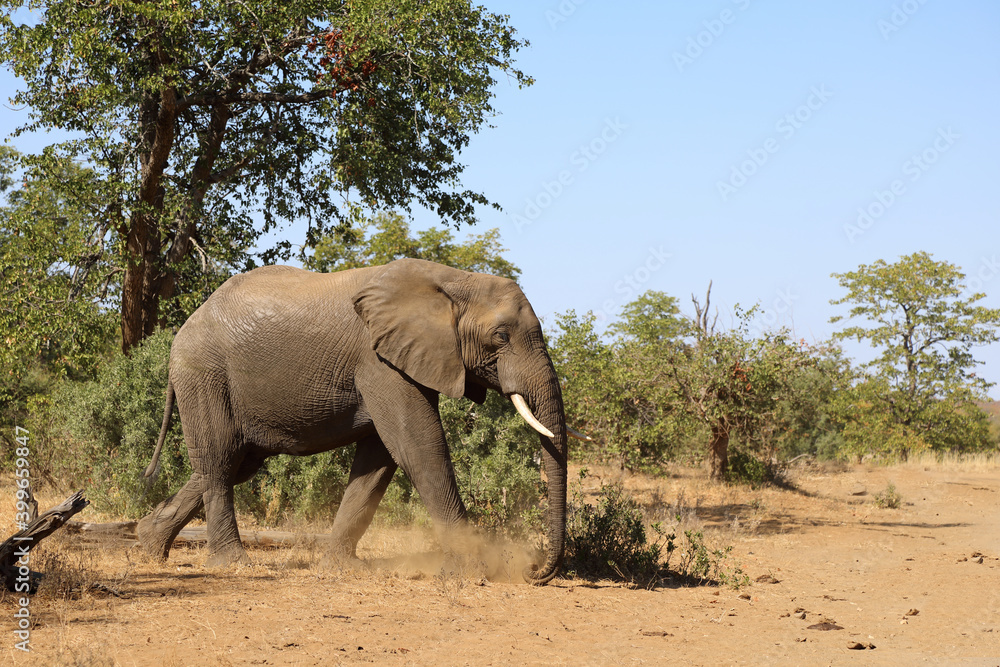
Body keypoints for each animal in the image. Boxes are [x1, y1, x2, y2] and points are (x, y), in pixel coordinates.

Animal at [136, 257, 568, 584]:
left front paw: (341, 567)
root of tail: (182, 331)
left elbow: (379, 458)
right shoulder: (377, 359)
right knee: (219, 460)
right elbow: (417, 444)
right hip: (204, 375)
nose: (533, 571)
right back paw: (233, 564)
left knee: (234, 463)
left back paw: (147, 546)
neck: (454, 280)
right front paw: (473, 569)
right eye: (501, 336)